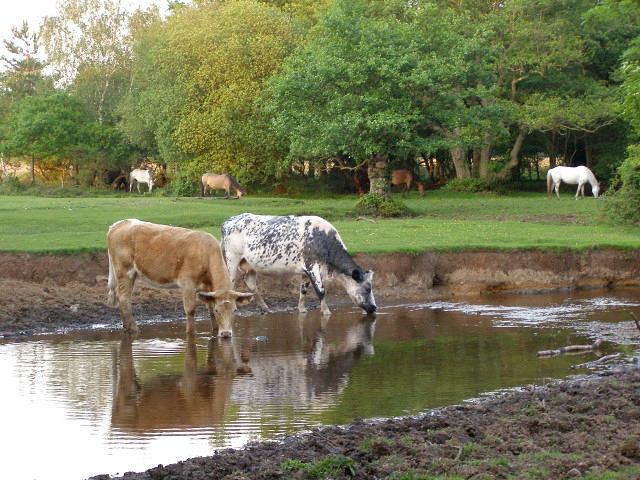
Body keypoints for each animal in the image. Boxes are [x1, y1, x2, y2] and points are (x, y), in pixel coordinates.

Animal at [107, 219, 252, 336]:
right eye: (218, 311)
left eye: (234, 311)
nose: (226, 334)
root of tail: (120, 223)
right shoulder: (187, 284)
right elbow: (190, 310)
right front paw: (191, 332)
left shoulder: (209, 290)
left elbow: (209, 309)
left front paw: (216, 330)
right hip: (123, 270)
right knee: (124, 297)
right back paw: (133, 327)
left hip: (131, 273)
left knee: (122, 296)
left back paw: (126, 326)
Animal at [222, 213, 378, 316]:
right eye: (368, 288)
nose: (375, 307)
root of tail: (229, 220)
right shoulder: (312, 267)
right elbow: (321, 291)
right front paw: (326, 311)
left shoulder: (305, 271)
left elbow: (303, 290)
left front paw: (302, 309)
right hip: (232, 258)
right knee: (230, 282)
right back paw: (234, 307)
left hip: (250, 264)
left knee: (250, 283)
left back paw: (264, 307)